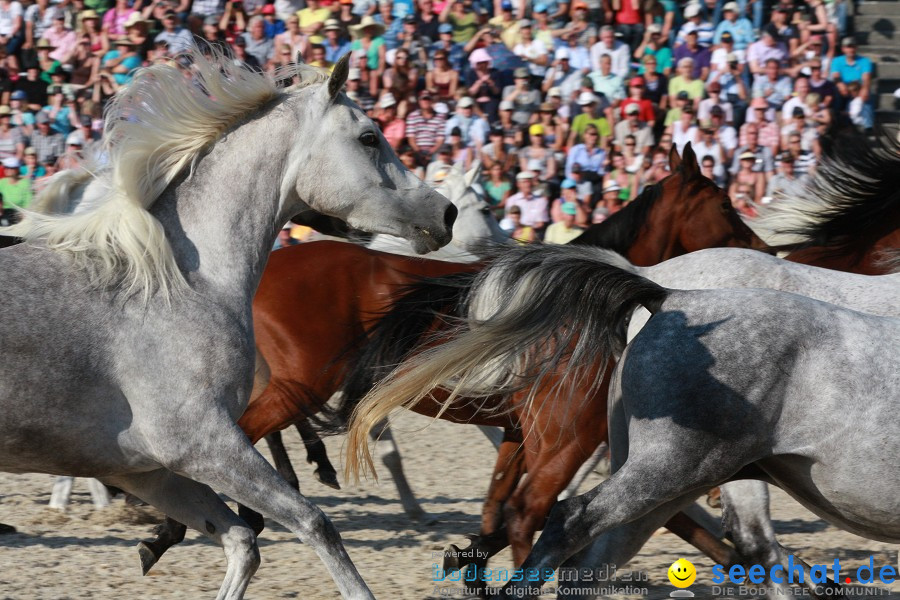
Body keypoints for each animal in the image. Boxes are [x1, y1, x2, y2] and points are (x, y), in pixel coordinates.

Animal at [0, 51, 454, 600]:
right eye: (369, 137)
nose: (446, 212)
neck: (183, 281)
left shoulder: (145, 469)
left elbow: (242, 540)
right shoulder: (201, 444)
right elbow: (315, 524)